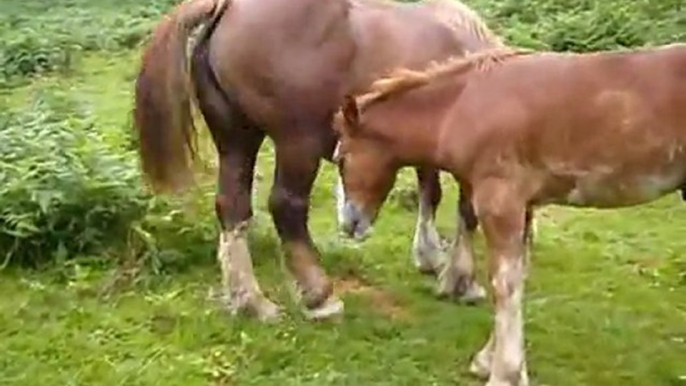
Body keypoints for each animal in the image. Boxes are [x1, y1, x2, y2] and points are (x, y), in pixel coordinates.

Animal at [134, 0, 502, 322]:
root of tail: (226, 7)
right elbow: (466, 210)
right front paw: (462, 280)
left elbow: (431, 192)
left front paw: (430, 257)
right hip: (297, 144)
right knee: (287, 206)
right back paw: (318, 297)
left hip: (236, 139)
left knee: (232, 207)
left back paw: (250, 302)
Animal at [334, 43, 686, 386]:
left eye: (341, 158)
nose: (350, 224)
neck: (461, 107)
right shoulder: (523, 205)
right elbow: (519, 275)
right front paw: (487, 360)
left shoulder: (500, 202)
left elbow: (504, 283)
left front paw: (505, 373)